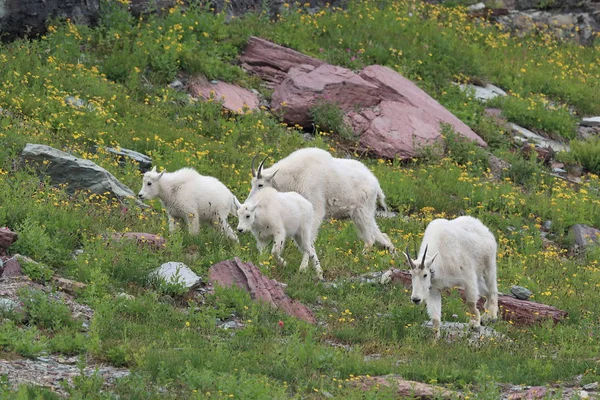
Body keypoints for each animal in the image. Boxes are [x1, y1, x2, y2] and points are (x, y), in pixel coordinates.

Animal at [248, 148, 394, 252]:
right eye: (252, 183)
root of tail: (376, 184)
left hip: (362, 212)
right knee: (381, 235)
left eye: (260, 185)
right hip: (363, 213)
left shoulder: (315, 205)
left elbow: (310, 234)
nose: (250, 202)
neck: (296, 174)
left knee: (370, 238)